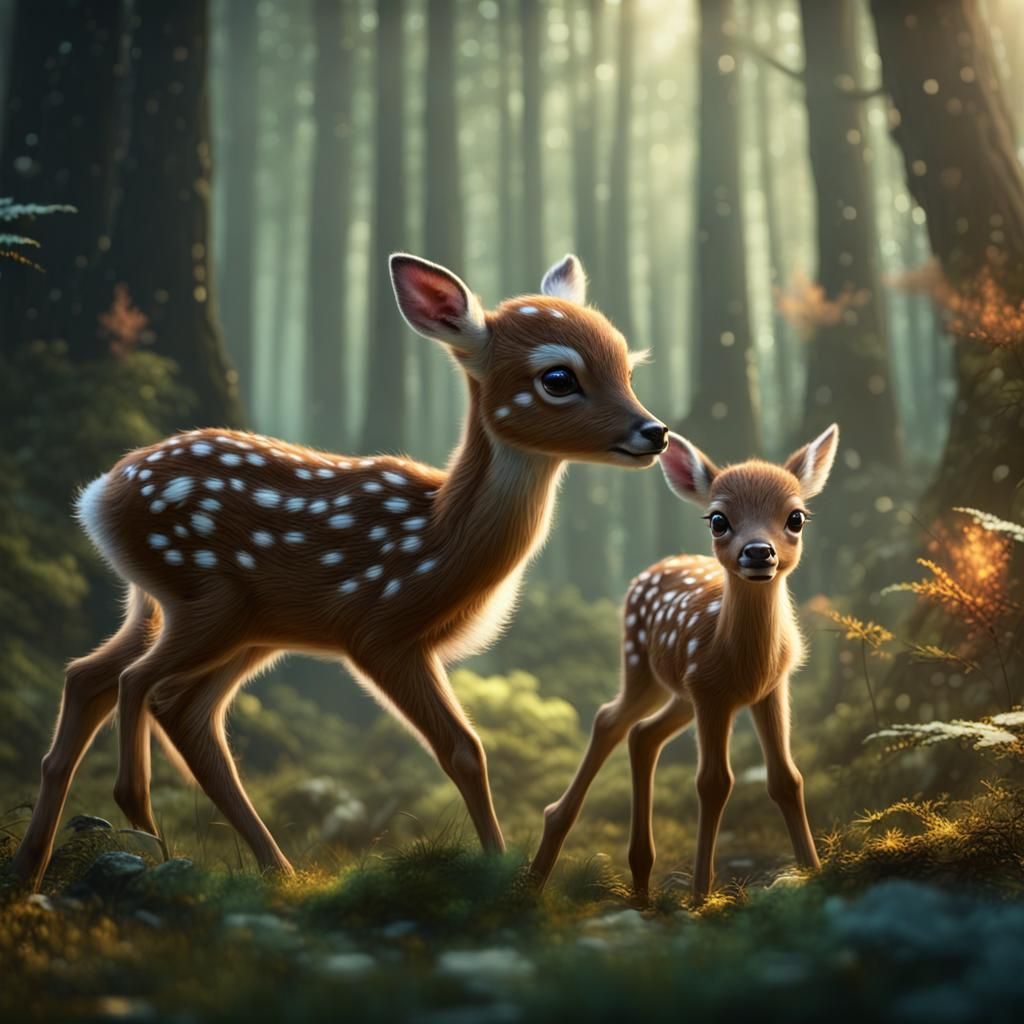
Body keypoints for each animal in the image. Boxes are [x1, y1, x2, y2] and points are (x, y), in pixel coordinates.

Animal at [12, 252, 668, 891]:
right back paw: (139, 810)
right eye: (558, 378)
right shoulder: (380, 631)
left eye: (628, 367)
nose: (656, 431)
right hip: (210, 600)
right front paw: (503, 874)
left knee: (113, 685)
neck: (438, 540)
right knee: (144, 685)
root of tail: (98, 496)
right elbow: (464, 749)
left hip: (210, 616)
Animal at [529, 424, 839, 904]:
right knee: (609, 719)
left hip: (678, 692)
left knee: (643, 734)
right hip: (641, 664)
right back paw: (541, 867)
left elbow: (787, 779)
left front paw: (814, 873)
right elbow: (714, 783)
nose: (758, 552)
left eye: (796, 517)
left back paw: (641, 883)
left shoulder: (771, 688)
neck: (743, 661)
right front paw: (700, 899)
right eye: (718, 519)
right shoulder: (710, 691)